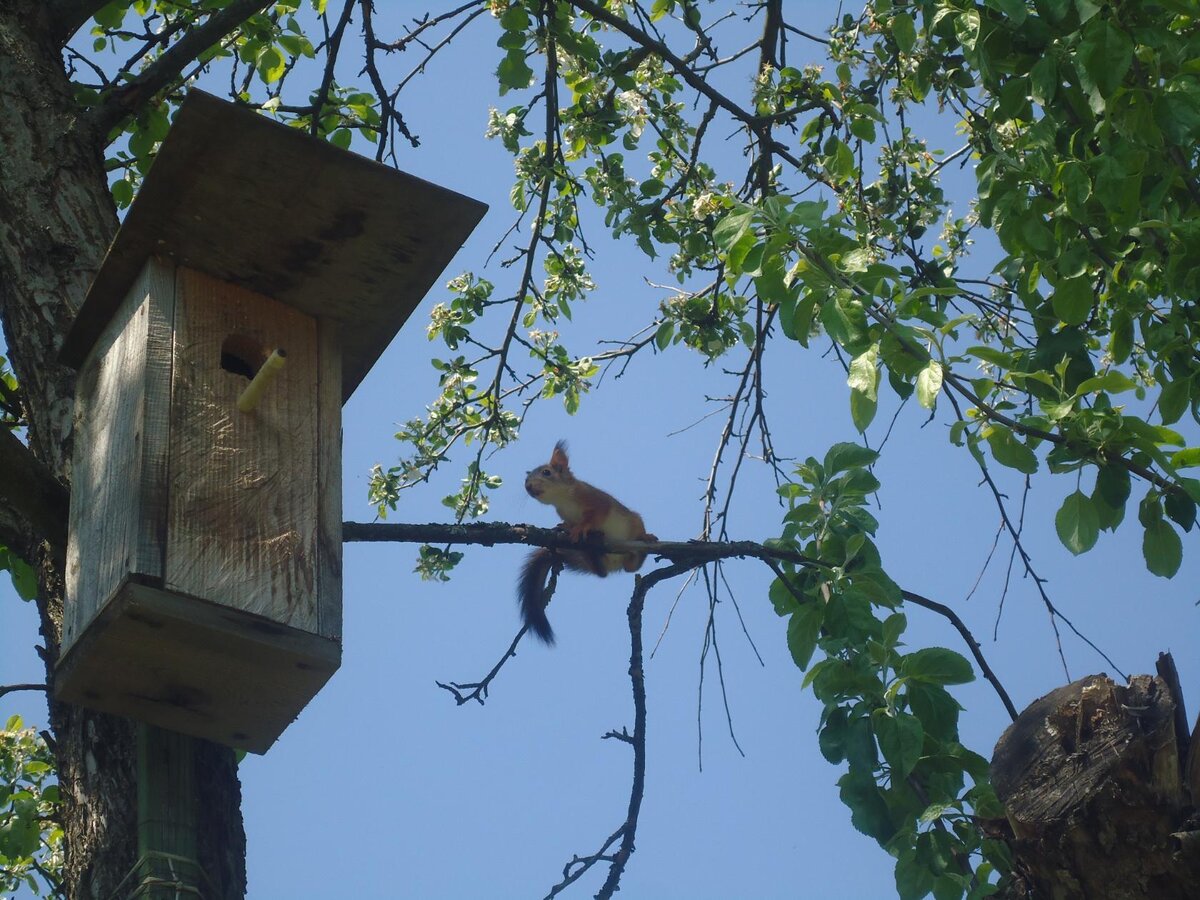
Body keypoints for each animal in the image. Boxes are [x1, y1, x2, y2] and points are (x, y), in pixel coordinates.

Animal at [518, 441, 657, 643]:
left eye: (546, 472)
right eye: (526, 480)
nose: (528, 487)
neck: (563, 499)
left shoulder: (597, 500)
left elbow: (595, 516)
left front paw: (582, 527)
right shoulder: (563, 513)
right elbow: (569, 523)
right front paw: (565, 528)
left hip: (635, 523)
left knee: (632, 566)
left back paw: (644, 539)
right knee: (604, 572)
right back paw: (593, 551)